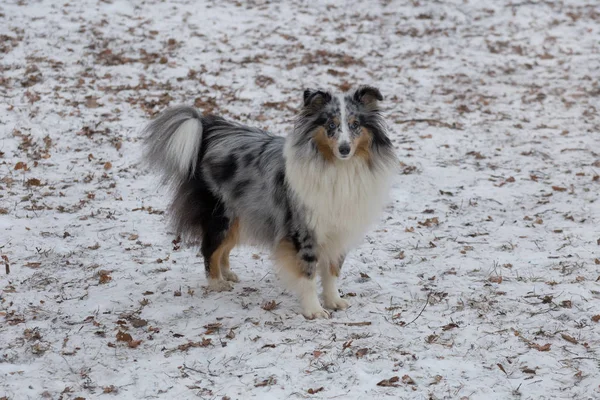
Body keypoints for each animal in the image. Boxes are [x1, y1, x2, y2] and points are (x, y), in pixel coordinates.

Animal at [142, 85, 396, 318]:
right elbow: (308, 273)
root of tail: (209, 130)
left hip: (243, 215)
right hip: (221, 215)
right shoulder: (303, 231)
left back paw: (228, 274)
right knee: (209, 248)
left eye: (355, 124)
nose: (344, 149)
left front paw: (334, 301)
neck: (337, 167)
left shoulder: (340, 230)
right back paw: (217, 283)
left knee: (223, 249)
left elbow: (332, 271)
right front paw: (314, 311)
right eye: (330, 125)